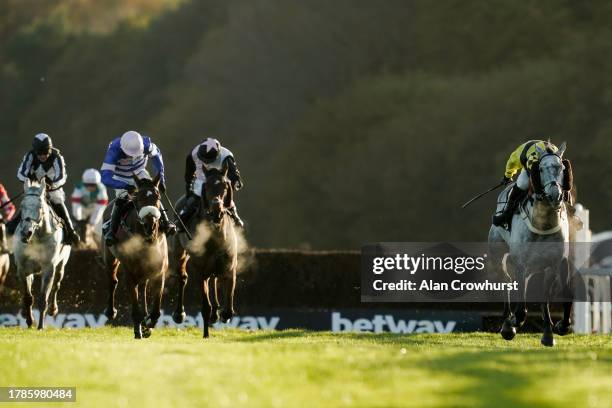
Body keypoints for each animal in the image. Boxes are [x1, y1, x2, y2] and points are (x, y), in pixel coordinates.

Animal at [12, 180, 71, 330]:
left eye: (39, 206)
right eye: (22, 205)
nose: (26, 232)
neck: (36, 238)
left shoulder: (48, 268)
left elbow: (43, 298)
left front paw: (40, 326)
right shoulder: (22, 269)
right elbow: (28, 297)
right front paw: (29, 321)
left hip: (62, 262)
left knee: (57, 284)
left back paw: (53, 309)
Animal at [101, 174, 169, 340]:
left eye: (158, 196)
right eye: (138, 198)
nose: (150, 225)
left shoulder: (159, 271)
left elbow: (156, 308)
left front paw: (149, 323)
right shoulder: (130, 273)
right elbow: (135, 305)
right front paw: (139, 330)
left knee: (143, 287)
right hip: (110, 258)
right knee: (113, 280)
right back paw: (111, 311)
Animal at [173, 168, 240, 338]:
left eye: (225, 186)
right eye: (207, 186)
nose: (217, 207)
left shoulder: (230, 268)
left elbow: (229, 302)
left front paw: (223, 315)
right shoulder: (200, 272)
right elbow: (205, 306)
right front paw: (206, 334)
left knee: (214, 279)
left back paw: (216, 314)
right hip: (179, 252)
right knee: (182, 277)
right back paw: (179, 314)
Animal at [488, 142, 572, 346]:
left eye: (561, 168)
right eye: (540, 169)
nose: (555, 194)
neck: (543, 224)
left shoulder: (555, 263)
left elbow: (550, 297)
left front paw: (554, 330)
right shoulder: (521, 264)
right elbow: (521, 309)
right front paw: (512, 324)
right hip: (498, 255)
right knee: (505, 281)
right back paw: (507, 323)